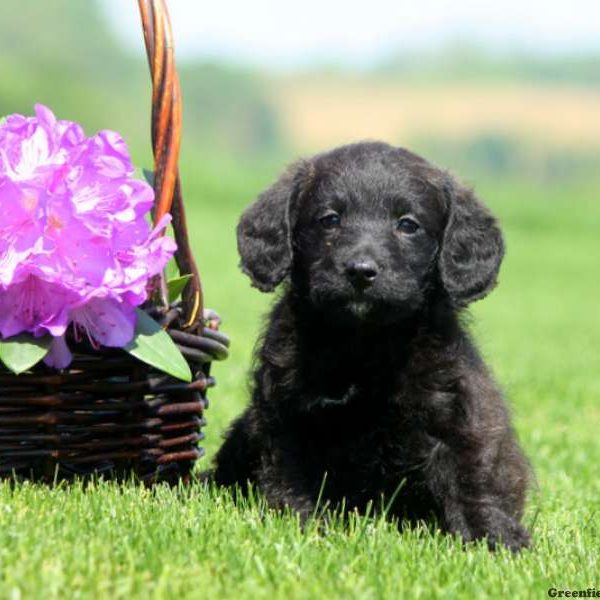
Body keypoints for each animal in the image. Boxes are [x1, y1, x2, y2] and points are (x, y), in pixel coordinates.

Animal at [212, 142, 528, 552]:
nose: (361, 271)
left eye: (408, 224)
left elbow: (472, 477)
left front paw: (494, 539)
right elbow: (291, 480)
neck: (365, 343)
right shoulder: (286, 416)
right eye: (330, 219)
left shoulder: (456, 413)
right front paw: (305, 528)